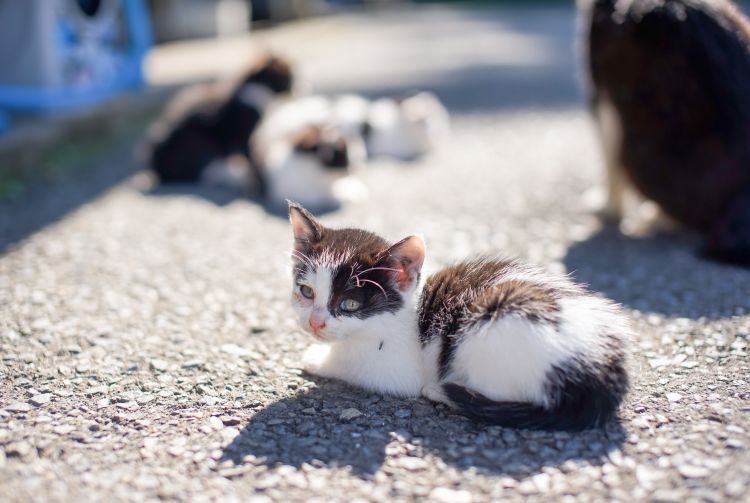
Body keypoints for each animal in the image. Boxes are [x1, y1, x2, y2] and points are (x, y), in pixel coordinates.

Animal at [144, 53, 294, 195]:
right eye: (289, 77)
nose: (294, 87)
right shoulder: (242, 136)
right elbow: (249, 158)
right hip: (200, 141)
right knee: (205, 171)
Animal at [290, 203, 632, 432]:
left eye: (348, 305)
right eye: (306, 291)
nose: (315, 323)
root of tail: (603, 371)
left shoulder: (393, 369)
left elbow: (349, 364)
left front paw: (316, 357)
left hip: (494, 330)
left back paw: (444, 392)